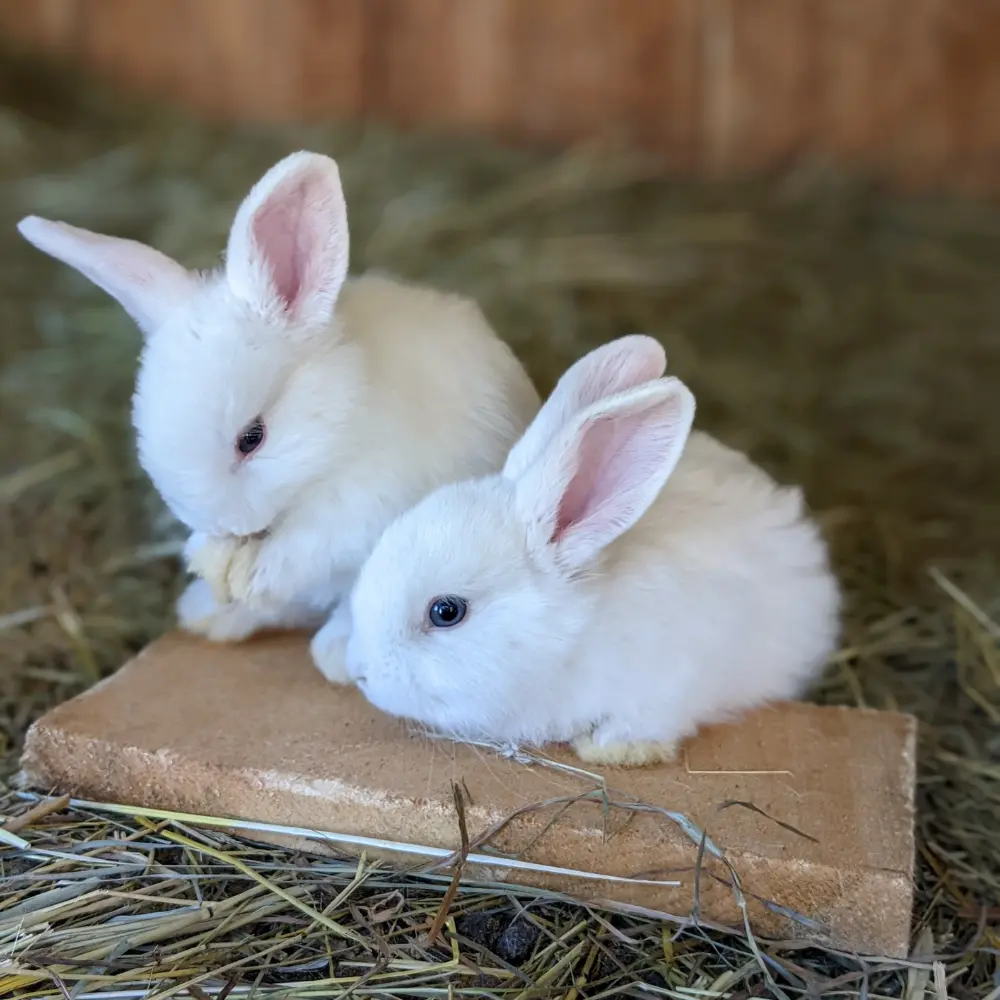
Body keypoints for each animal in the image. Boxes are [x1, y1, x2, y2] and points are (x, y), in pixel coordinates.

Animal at [17, 151, 542, 661]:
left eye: (252, 438)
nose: (229, 527)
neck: (337, 439)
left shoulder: (359, 513)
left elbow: (306, 555)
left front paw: (251, 575)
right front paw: (209, 561)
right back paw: (208, 614)